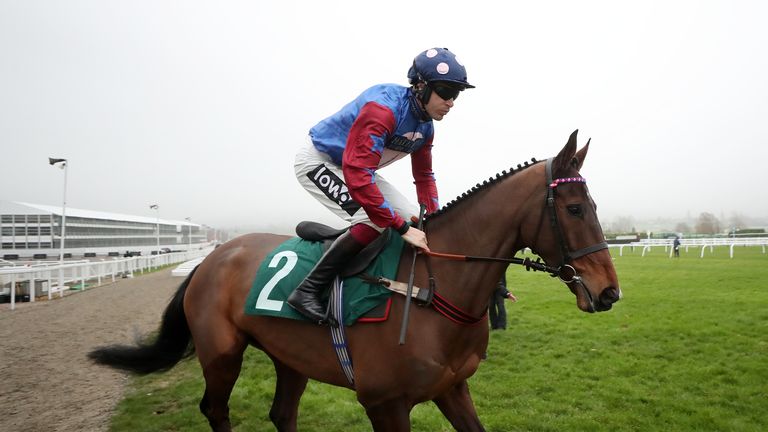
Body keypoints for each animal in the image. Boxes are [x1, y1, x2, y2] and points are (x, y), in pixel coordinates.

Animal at [88, 130, 616, 430]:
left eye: (594, 206)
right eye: (574, 209)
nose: (609, 291)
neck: (433, 287)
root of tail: (211, 258)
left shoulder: (452, 388)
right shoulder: (386, 404)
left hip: (289, 356)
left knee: (282, 414)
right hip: (221, 355)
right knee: (216, 411)